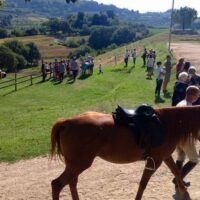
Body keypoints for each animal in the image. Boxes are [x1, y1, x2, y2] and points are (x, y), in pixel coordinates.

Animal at [50, 105, 200, 199]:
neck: (167, 123)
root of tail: (67, 122)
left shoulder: (165, 156)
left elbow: (176, 172)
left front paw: (186, 194)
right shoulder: (155, 160)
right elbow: (143, 184)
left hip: (75, 165)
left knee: (72, 183)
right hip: (78, 164)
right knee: (57, 185)